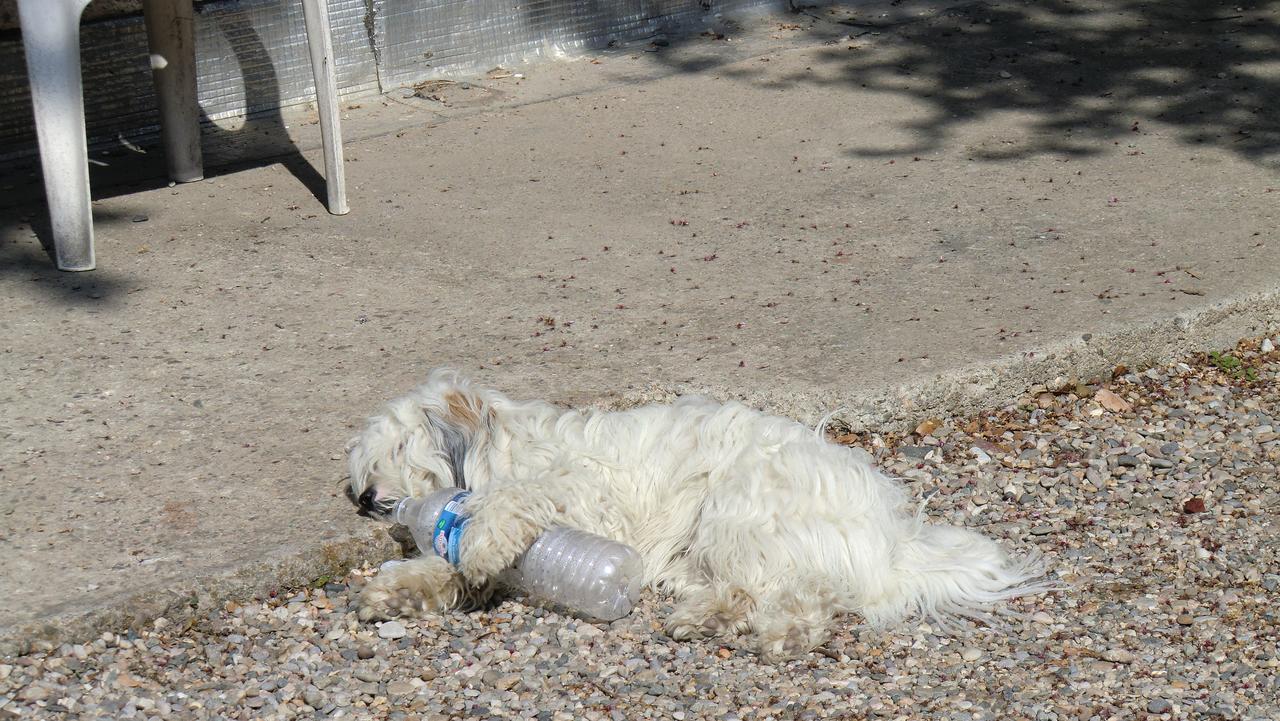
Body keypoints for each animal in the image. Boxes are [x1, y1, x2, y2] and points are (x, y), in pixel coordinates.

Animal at [343, 371, 1049, 660]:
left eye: (399, 450)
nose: (368, 499)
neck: (507, 450)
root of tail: (891, 542)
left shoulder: (585, 493)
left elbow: (512, 509)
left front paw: (483, 539)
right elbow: (448, 568)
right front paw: (399, 591)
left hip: (739, 508)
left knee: (809, 597)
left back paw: (777, 634)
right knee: (758, 591)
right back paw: (708, 617)